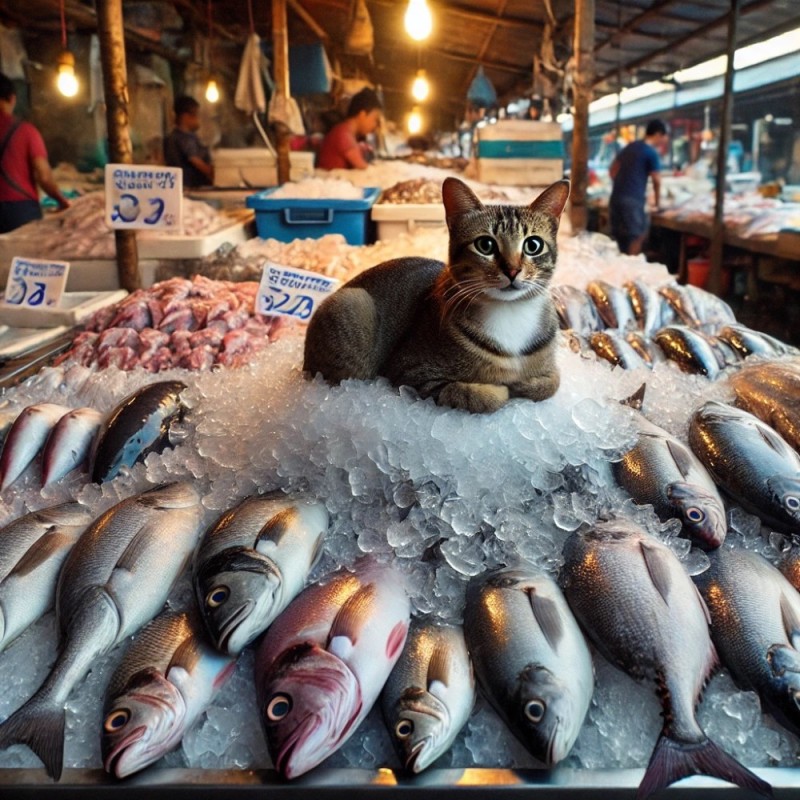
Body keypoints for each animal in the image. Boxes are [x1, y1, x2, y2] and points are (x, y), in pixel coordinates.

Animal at [300, 175, 568, 412]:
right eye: (485, 245)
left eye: (533, 245)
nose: (512, 270)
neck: (510, 312)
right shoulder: (411, 371)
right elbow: (475, 394)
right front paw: (501, 389)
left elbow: (552, 382)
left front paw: (526, 383)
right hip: (354, 304)